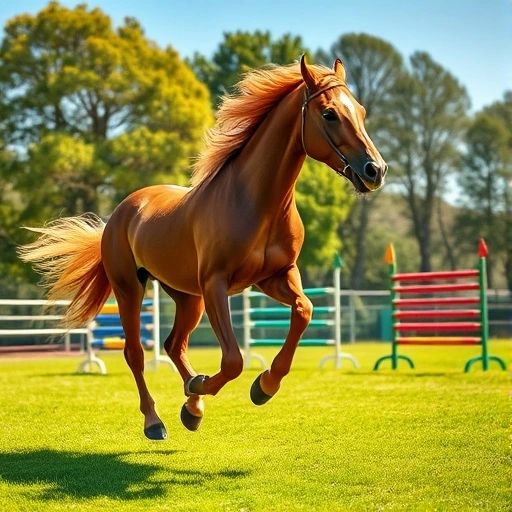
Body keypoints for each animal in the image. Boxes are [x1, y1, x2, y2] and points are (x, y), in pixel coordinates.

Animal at [21, 55, 388, 440]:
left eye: (361, 111)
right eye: (329, 113)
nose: (375, 170)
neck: (256, 201)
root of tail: (121, 213)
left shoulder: (275, 276)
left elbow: (304, 310)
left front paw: (263, 385)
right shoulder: (216, 283)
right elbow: (233, 360)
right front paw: (221, 386)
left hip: (187, 297)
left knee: (172, 344)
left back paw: (193, 407)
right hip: (130, 290)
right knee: (136, 353)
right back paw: (156, 421)